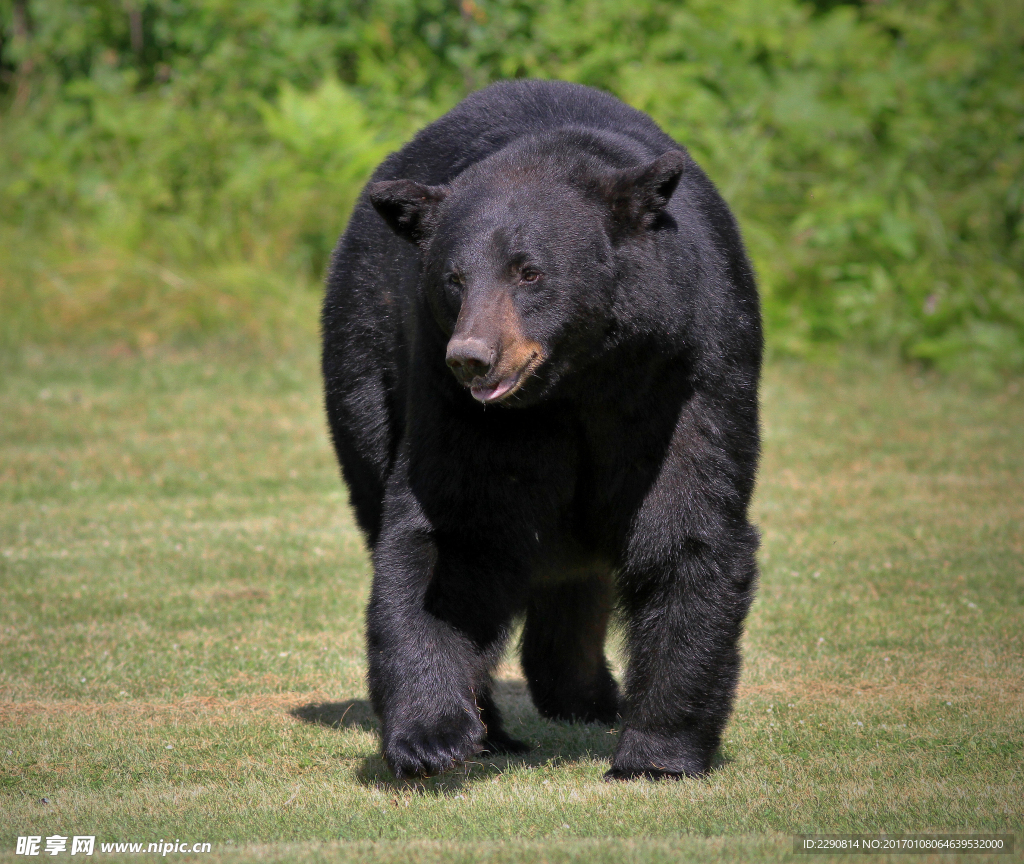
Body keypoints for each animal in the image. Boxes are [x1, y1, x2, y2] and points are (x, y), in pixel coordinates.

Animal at [321, 79, 762, 780]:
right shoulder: (454, 400)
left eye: (530, 271)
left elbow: (685, 524)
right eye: (454, 278)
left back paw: (587, 696)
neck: (577, 380)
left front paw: (656, 755)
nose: (472, 357)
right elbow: (453, 533)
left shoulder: (687, 370)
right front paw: (432, 736)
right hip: (365, 360)